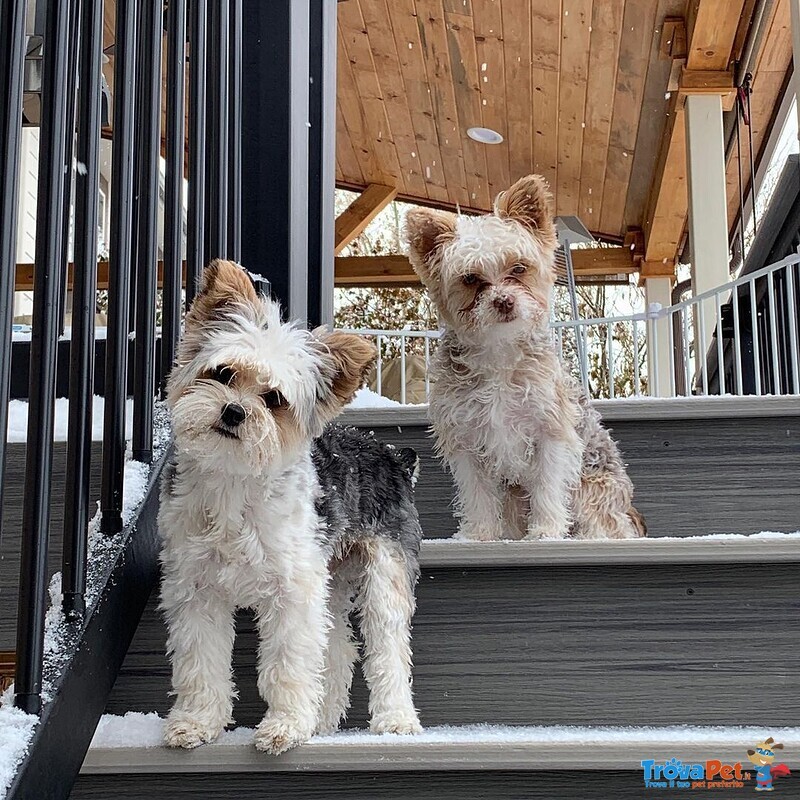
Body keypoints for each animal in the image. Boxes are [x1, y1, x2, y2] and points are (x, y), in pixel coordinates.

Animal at [406, 172, 644, 540]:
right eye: (470, 278)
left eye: (518, 268)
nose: (504, 301)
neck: (498, 352)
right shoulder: (465, 438)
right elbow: (476, 492)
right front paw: (478, 534)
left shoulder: (549, 428)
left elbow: (546, 484)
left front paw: (546, 530)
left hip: (593, 488)